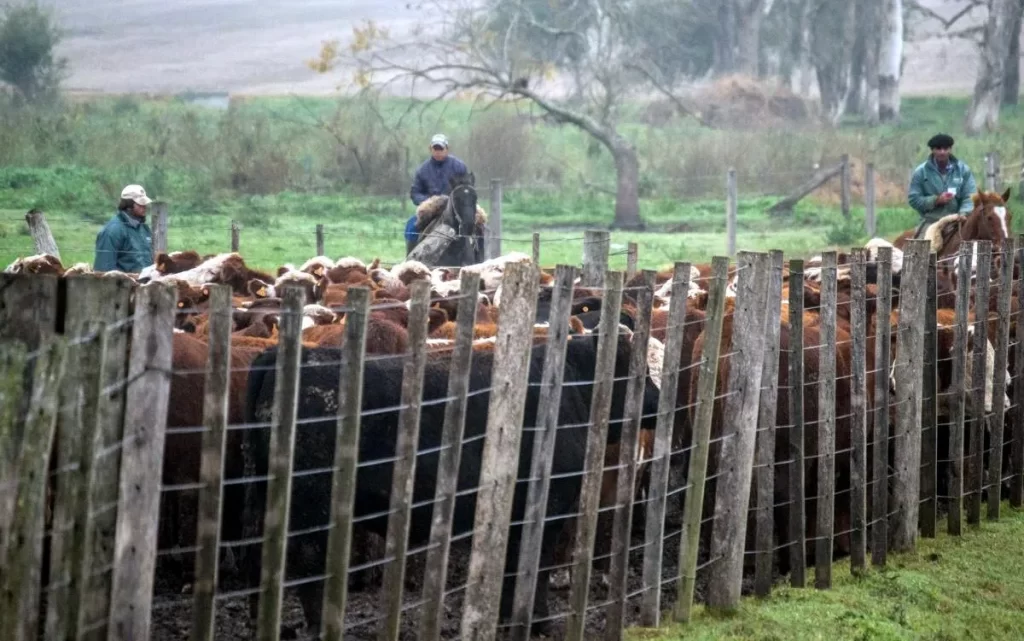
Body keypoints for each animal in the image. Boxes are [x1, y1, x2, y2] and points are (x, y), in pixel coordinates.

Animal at [240, 331, 659, 634]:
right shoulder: (547, 509)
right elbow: (533, 567)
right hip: (311, 508)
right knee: (310, 567)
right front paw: (537, 623)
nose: (657, 400)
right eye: (640, 372)